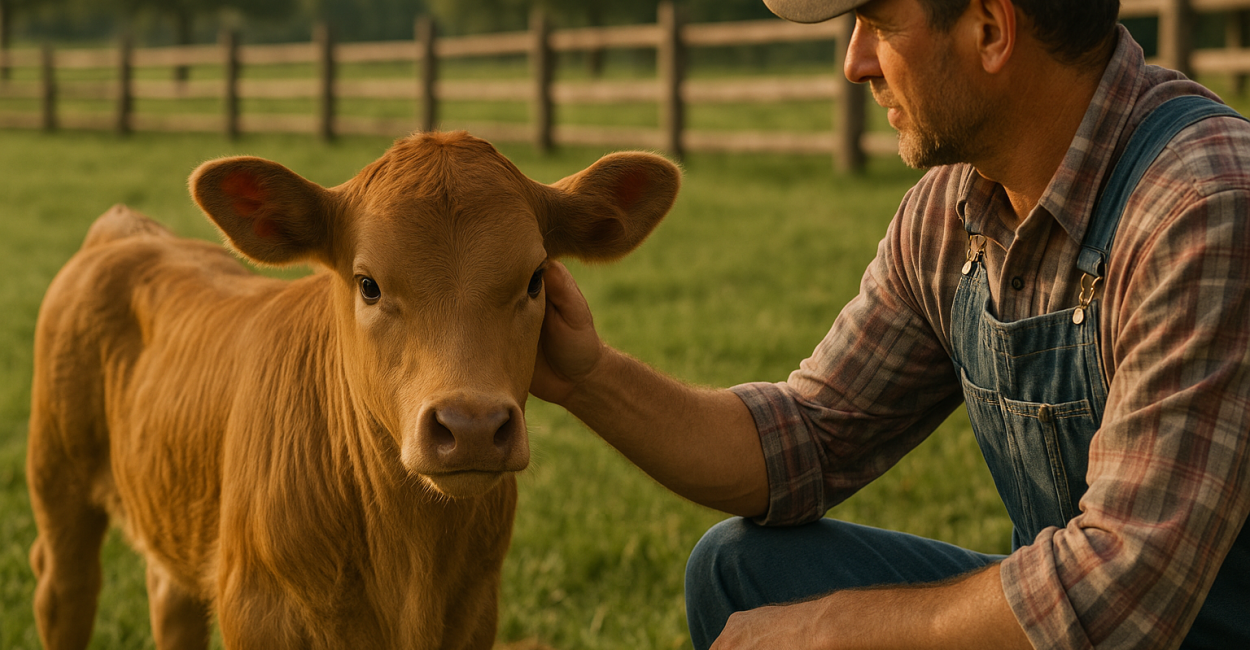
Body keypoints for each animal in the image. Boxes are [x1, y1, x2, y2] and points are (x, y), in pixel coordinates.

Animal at [26, 131, 680, 650]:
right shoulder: (259, 612)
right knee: (64, 591)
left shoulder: (475, 609)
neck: (407, 559)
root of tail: (127, 231)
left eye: (536, 278)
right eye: (368, 284)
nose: (470, 427)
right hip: (58, 486)